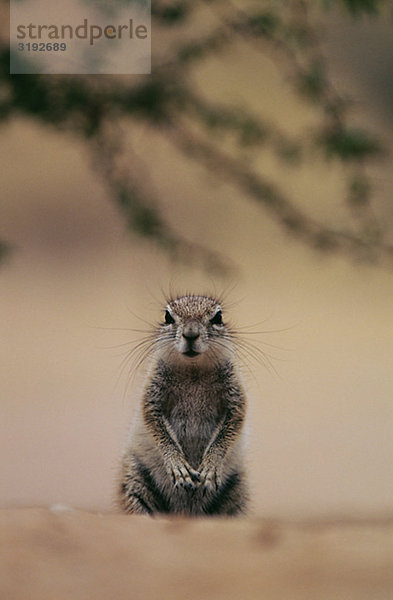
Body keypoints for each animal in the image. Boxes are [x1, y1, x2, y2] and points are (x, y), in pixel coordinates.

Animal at [118, 294, 248, 516]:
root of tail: (185, 514)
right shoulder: (152, 394)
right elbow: (157, 428)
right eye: (167, 317)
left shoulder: (235, 397)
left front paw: (211, 466)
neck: (193, 371)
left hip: (237, 494)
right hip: (135, 482)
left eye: (218, 317)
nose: (191, 333)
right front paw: (178, 466)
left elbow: (230, 429)